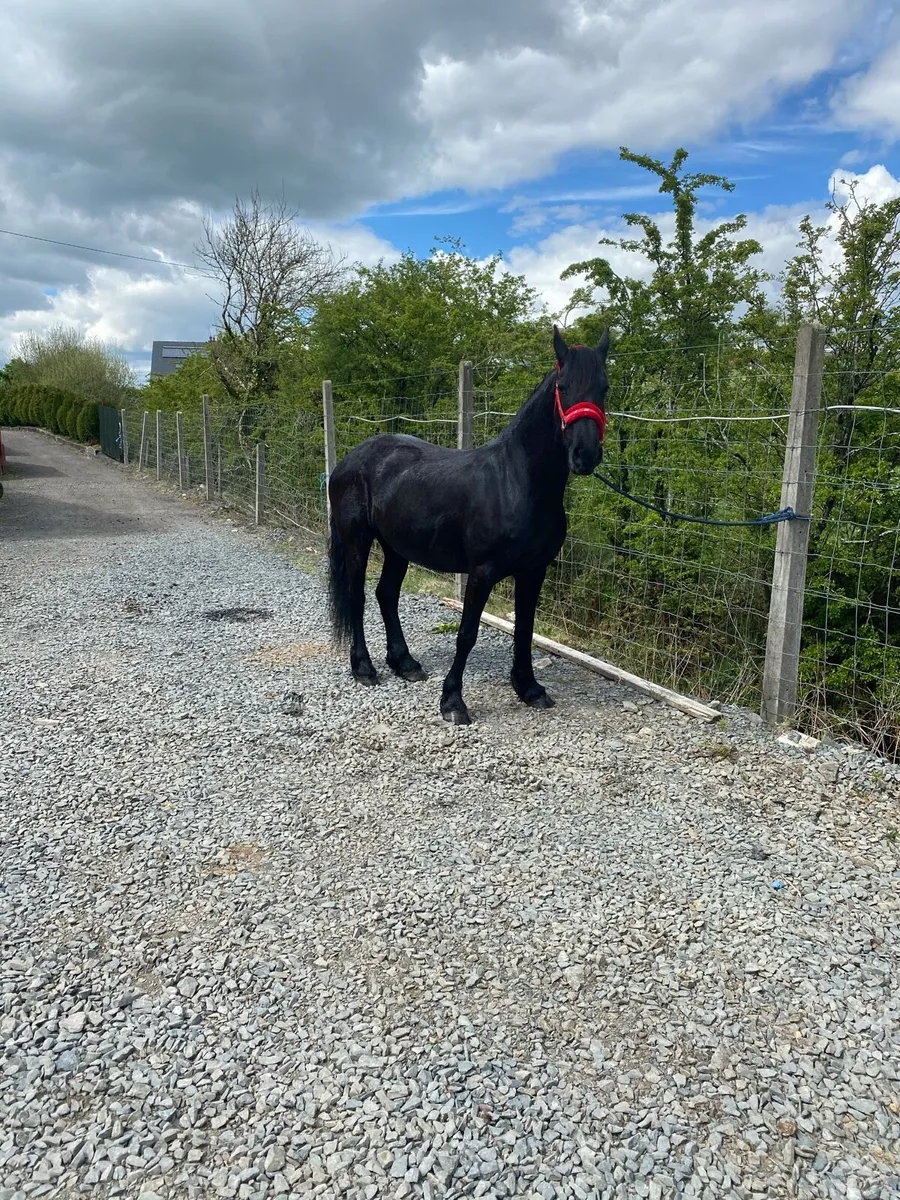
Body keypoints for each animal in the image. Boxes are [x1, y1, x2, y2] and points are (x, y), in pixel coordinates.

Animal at [327, 325, 610, 725]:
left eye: (604, 387)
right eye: (563, 386)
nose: (585, 455)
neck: (517, 481)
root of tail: (349, 461)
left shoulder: (534, 571)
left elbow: (525, 629)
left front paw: (529, 689)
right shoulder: (482, 572)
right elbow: (467, 633)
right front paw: (452, 702)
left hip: (397, 547)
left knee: (387, 594)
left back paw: (405, 663)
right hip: (357, 541)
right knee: (359, 595)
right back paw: (364, 668)